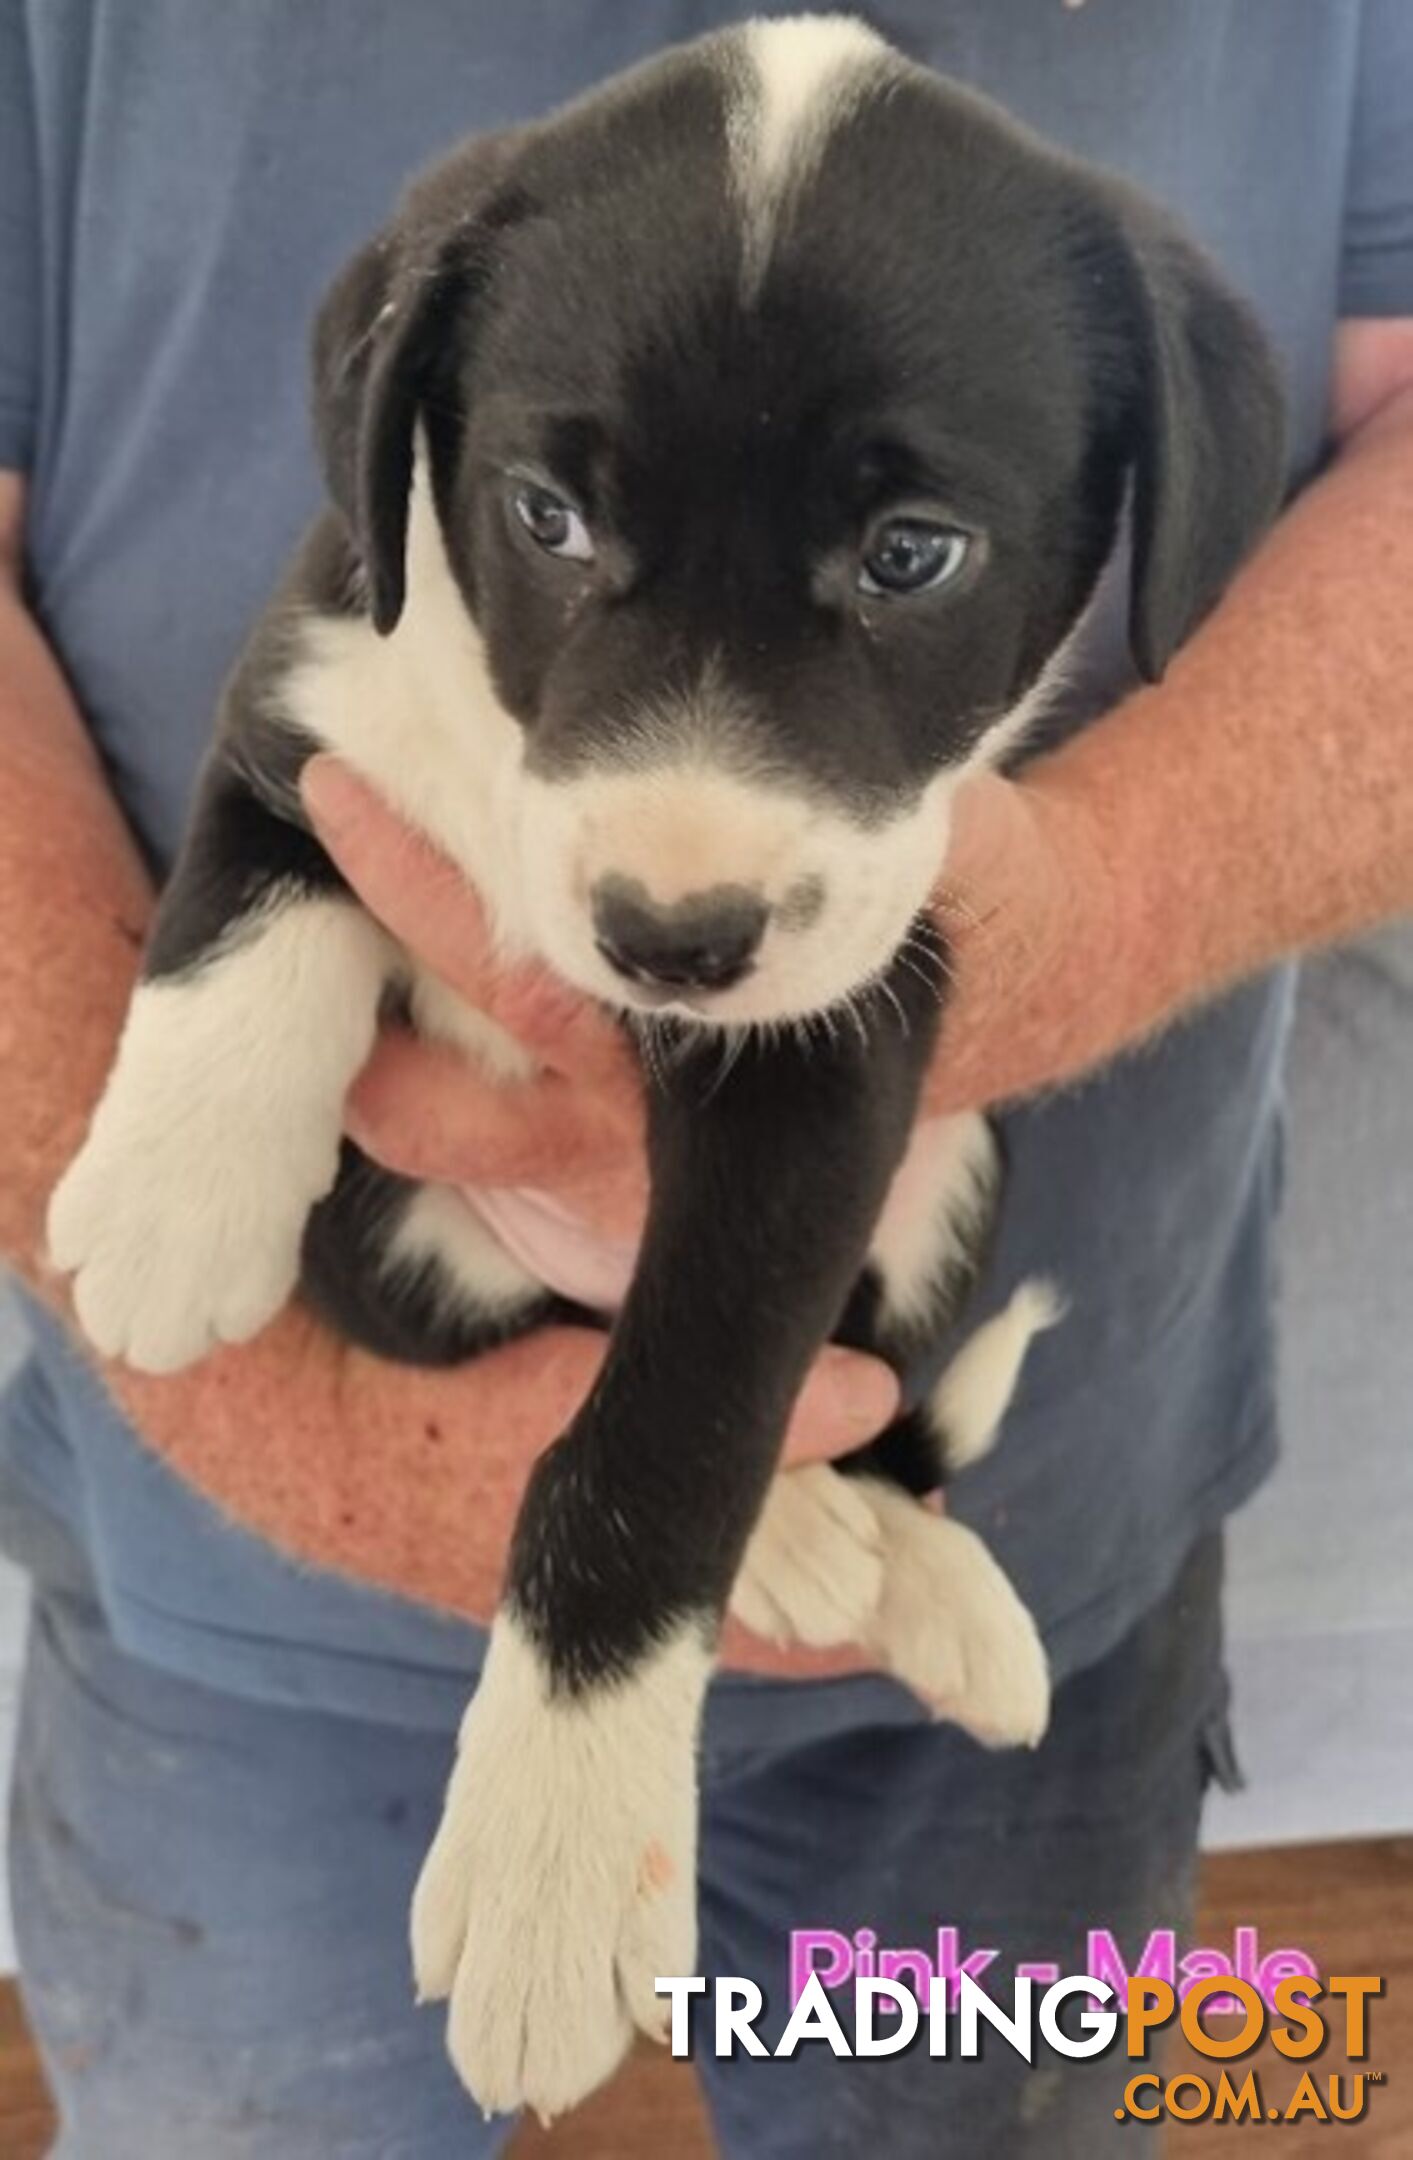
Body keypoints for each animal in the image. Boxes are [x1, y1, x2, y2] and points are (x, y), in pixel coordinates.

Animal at [44, 16, 1287, 2116]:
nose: (667, 939)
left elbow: (673, 1423)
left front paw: (556, 1849)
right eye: (546, 516)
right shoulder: (311, 666)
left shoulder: (832, 1065)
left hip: (954, 1176)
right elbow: (248, 891)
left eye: (909, 554)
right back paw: (807, 1547)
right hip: (400, 1244)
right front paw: (168, 1199)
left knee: (838, 1401)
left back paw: (914, 1581)